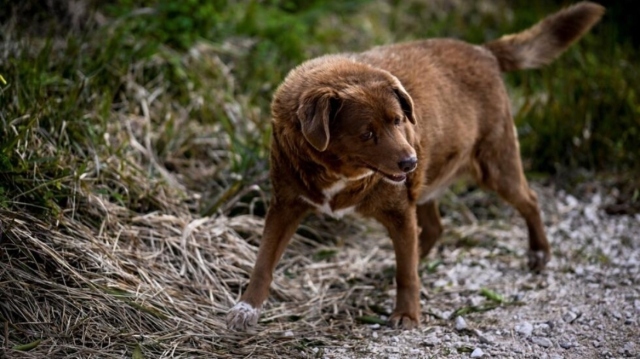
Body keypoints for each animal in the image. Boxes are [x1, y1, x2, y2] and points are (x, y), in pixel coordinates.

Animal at [226, 2, 604, 332]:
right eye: (367, 133)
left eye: (398, 120)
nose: (410, 161)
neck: (339, 173)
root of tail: (484, 51)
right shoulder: (285, 205)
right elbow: (263, 260)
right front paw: (246, 308)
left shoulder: (398, 210)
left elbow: (406, 272)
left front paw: (407, 314)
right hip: (427, 182)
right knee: (433, 229)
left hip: (494, 165)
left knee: (528, 200)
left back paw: (539, 253)